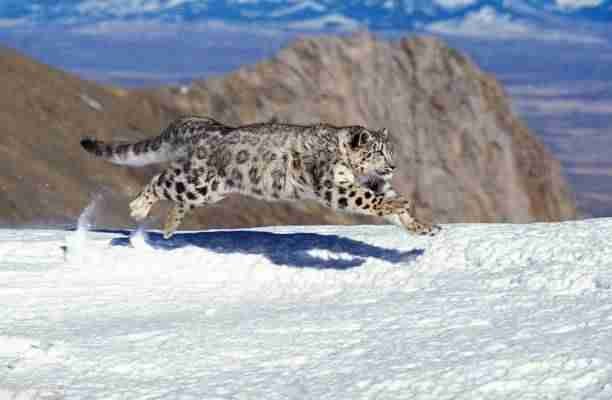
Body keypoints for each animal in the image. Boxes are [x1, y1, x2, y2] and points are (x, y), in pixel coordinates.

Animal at [82, 117, 440, 239]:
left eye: (389, 151)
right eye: (377, 151)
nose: (392, 167)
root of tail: (199, 123)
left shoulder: (373, 183)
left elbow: (385, 201)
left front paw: (422, 226)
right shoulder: (333, 185)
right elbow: (368, 199)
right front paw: (399, 204)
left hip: (210, 190)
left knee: (176, 194)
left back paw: (170, 227)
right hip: (199, 182)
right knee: (160, 180)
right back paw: (139, 208)